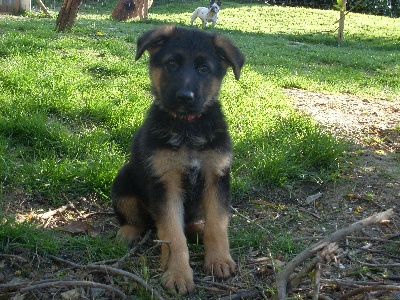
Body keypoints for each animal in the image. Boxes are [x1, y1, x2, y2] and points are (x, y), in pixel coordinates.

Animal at [111, 25, 245, 296]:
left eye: (204, 69)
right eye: (171, 64)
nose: (185, 97)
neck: (187, 127)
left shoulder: (217, 176)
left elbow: (218, 224)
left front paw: (219, 260)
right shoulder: (165, 183)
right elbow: (173, 234)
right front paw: (177, 274)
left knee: (191, 224)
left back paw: (198, 231)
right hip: (123, 181)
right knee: (136, 220)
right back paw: (127, 234)